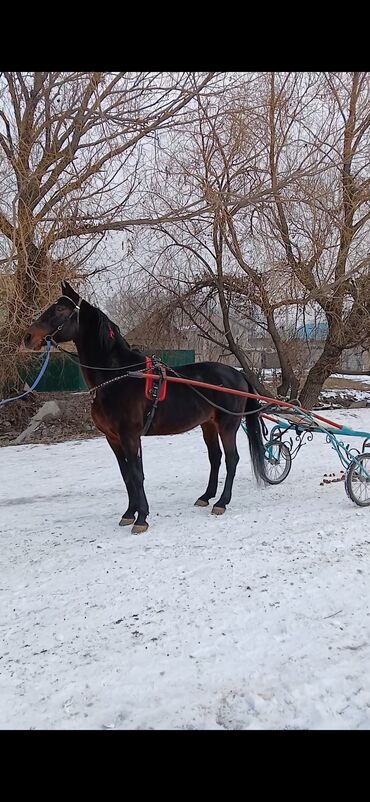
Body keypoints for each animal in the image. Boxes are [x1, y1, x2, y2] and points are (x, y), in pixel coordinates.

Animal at [26, 282, 268, 532]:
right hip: (208, 425)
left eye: (60, 309)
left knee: (231, 459)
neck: (119, 375)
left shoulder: (130, 435)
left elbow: (136, 475)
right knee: (215, 457)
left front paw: (141, 518)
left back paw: (221, 502)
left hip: (228, 425)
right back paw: (206, 497)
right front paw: (129, 514)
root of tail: (238, 373)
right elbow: (127, 475)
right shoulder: (113, 438)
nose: (28, 336)